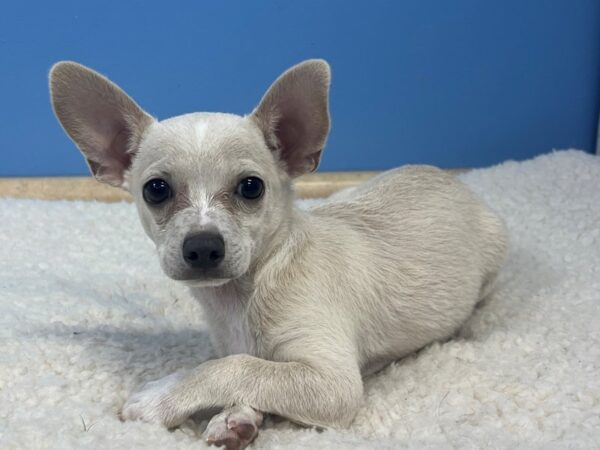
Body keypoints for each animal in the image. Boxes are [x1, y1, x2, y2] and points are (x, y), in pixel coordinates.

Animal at [49, 60, 506, 450]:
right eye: (156, 190)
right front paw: (238, 419)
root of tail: (448, 177)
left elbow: (232, 367)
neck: (242, 297)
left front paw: (163, 394)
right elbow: (249, 369)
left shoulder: (333, 383)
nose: (202, 246)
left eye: (251, 187)